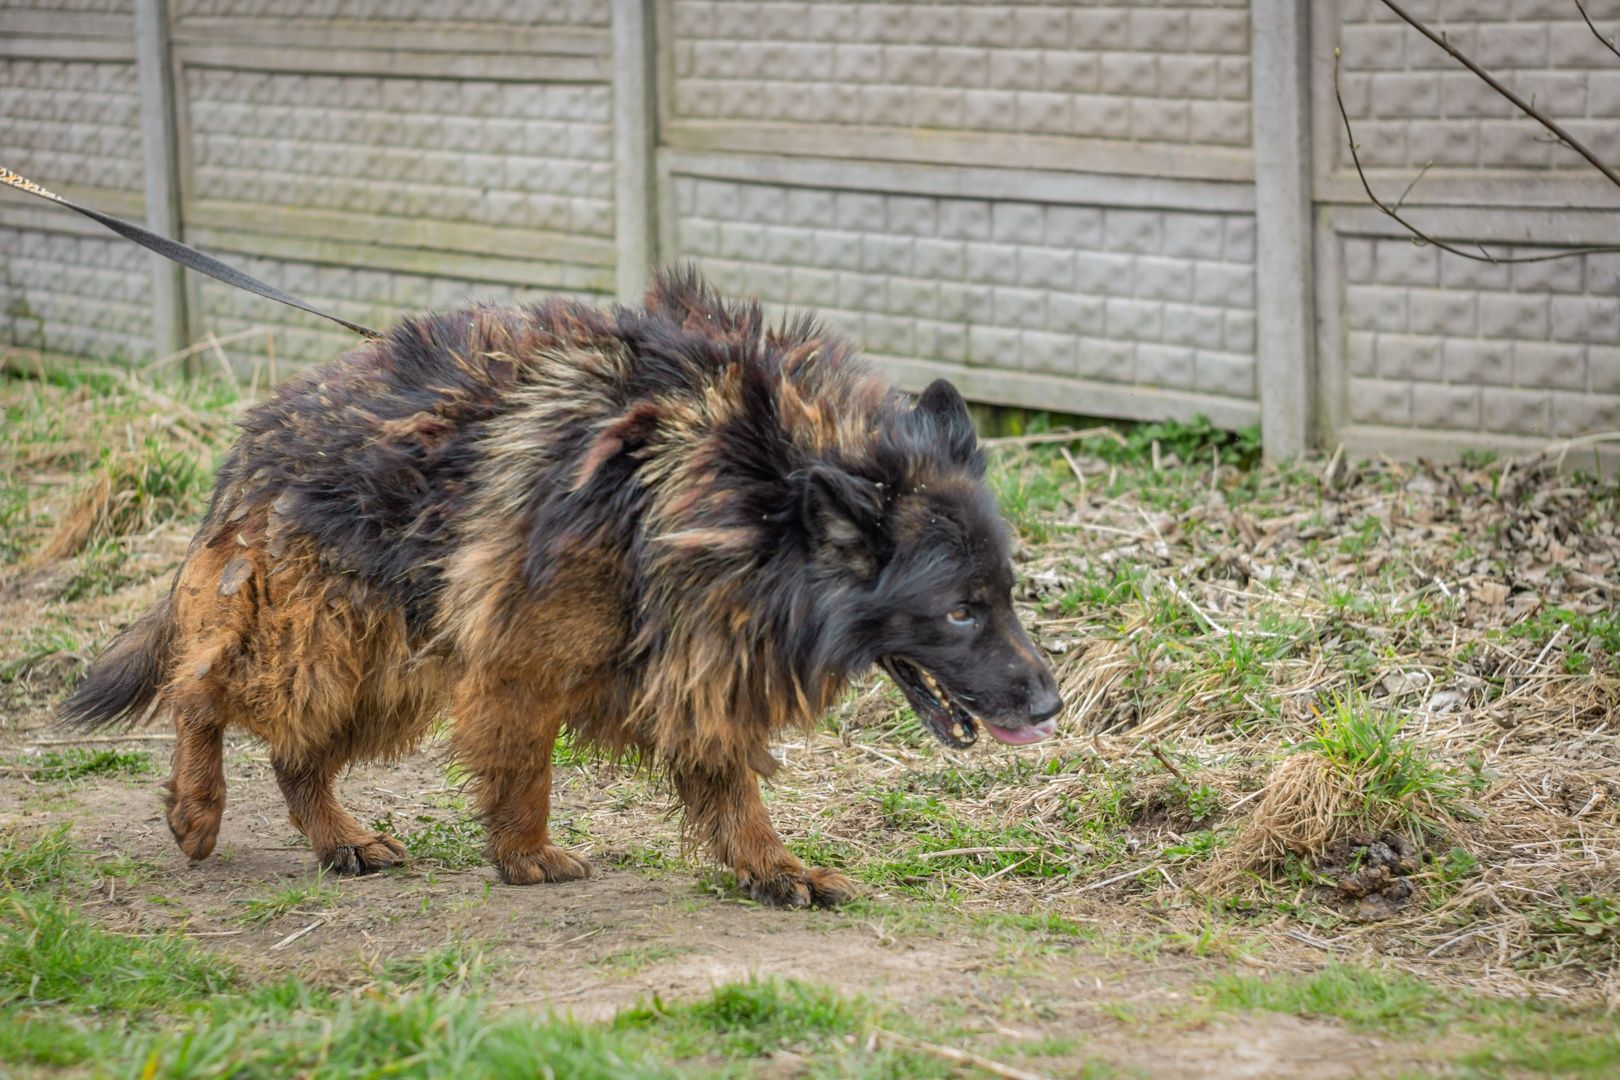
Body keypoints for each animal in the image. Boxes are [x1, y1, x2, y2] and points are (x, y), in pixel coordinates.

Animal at [63, 265, 1062, 906]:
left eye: (1008, 596)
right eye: (958, 611)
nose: (1052, 706)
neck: (742, 484)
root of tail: (259, 429)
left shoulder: (693, 643)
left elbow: (729, 783)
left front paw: (772, 870)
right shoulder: (523, 661)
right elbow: (525, 770)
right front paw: (524, 856)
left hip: (386, 660)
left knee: (293, 750)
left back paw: (338, 839)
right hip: (327, 633)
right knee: (203, 689)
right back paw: (197, 808)